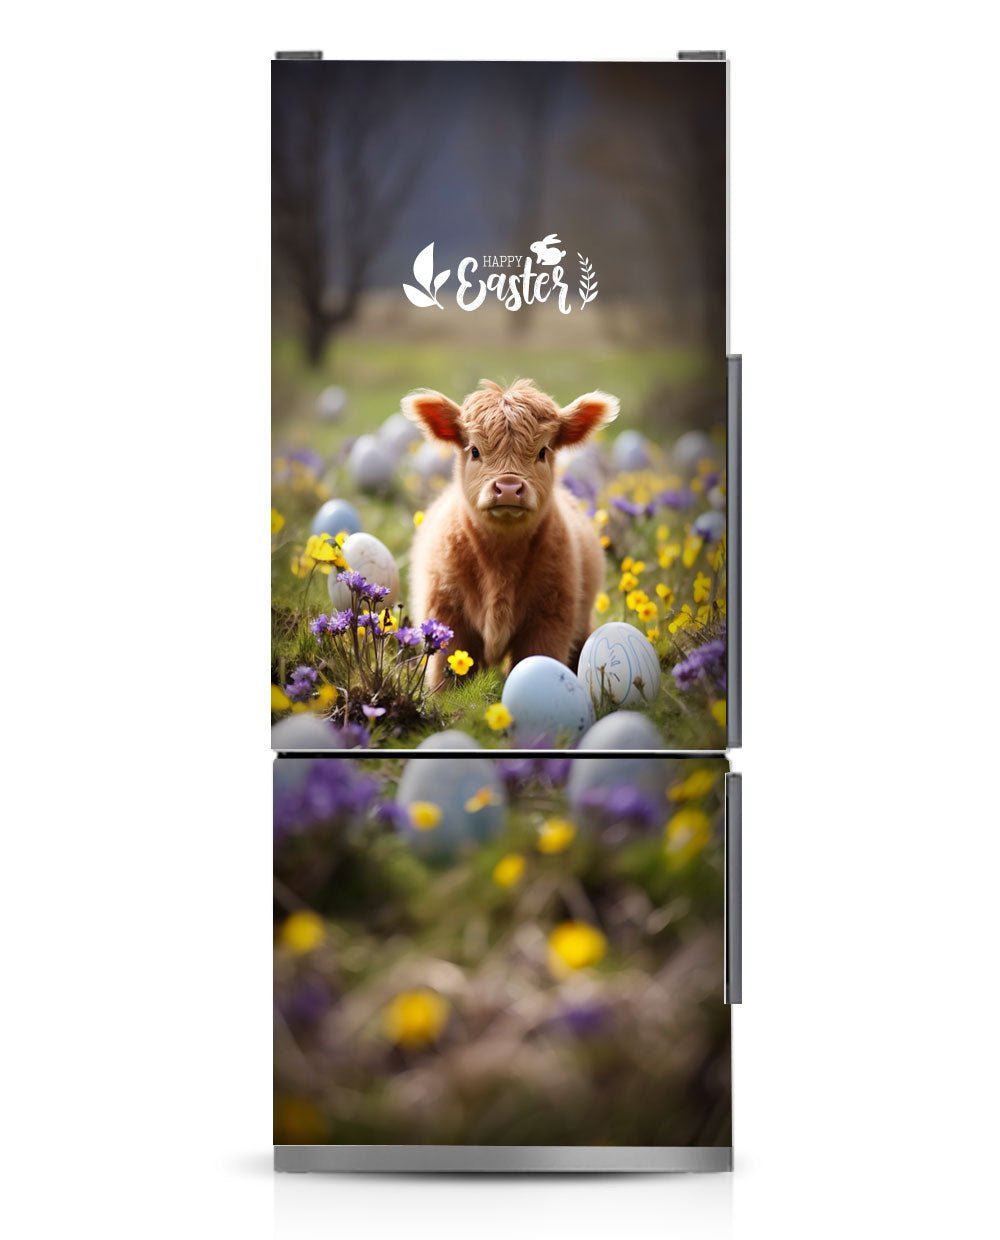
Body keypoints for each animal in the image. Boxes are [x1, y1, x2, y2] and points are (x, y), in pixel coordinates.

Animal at [401, 378, 619, 686]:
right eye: (474, 450)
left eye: (542, 451)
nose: (507, 488)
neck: (500, 563)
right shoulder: (447, 613)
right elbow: (447, 674)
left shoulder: (550, 620)